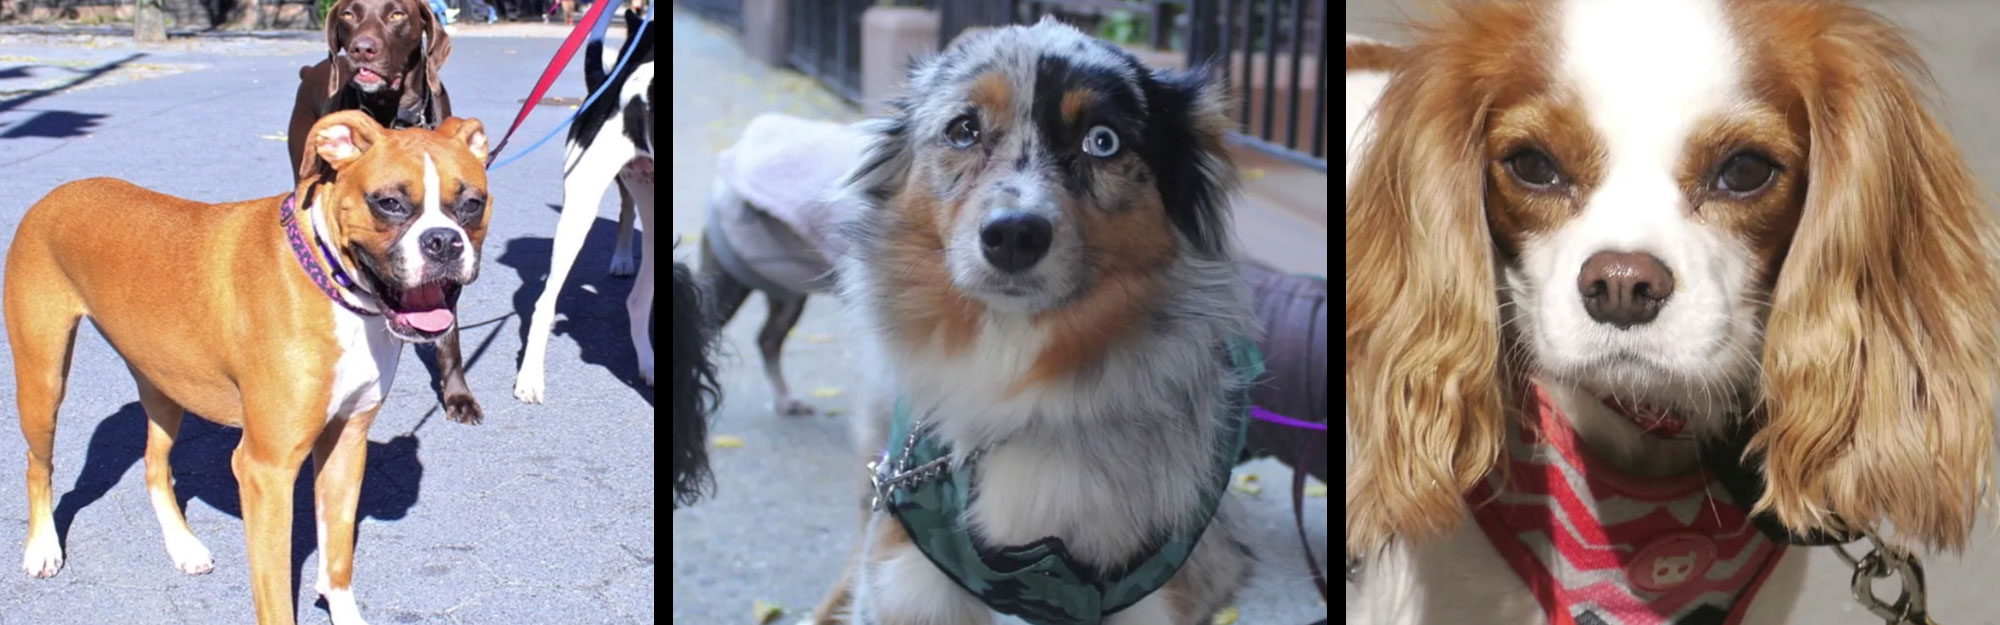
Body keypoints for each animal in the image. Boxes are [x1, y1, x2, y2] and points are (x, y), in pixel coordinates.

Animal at [5, 109, 490, 620]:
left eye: (472, 204)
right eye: (390, 203)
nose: (443, 241)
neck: (329, 281)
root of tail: (56, 194)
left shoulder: (345, 443)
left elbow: (338, 555)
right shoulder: (267, 470)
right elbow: (276, 594)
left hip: (163, 387)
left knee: (155, 465)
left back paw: (183, 546)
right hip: (42, 381)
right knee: (37, 464)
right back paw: (42, 547)